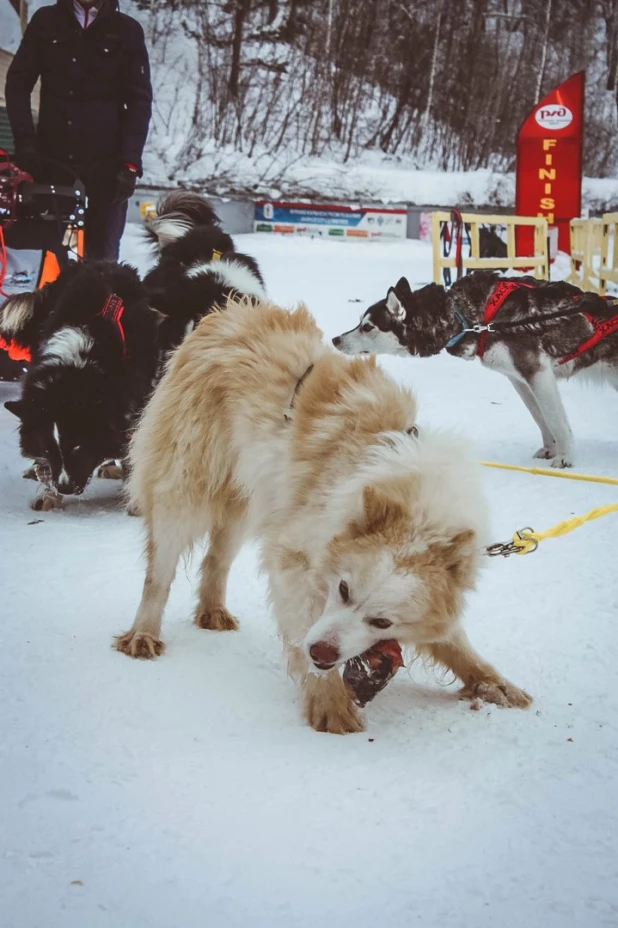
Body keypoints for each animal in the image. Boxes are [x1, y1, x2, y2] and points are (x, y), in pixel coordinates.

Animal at [115, 298, 528, 732]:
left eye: (383, 623)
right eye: (343, 590)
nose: (323, 653)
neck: (415, 507)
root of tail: (227, 312)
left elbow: (454, 641)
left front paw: (492, 682)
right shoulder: (293, 558)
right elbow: (304, 628)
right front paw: (330, 703)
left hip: (246, 504)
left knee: (216, 560)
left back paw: (213, 611)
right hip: (186, 492)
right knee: (159, 574)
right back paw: (142, 634)